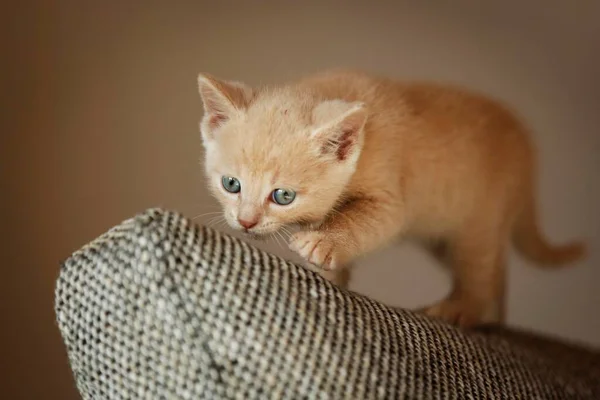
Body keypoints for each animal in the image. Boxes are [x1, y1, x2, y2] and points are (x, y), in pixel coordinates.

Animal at [197, 69, 584, 328]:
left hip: (480, 218)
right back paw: (494, 319)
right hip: (446, 236)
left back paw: (463, 310)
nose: (246, 221)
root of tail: (528, 150)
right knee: (495, 269)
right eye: (231, 184)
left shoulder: (391, 198)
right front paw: (329, 276)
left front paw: (323, 243)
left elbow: (364, 221)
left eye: (283, 196)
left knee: (481, 268)